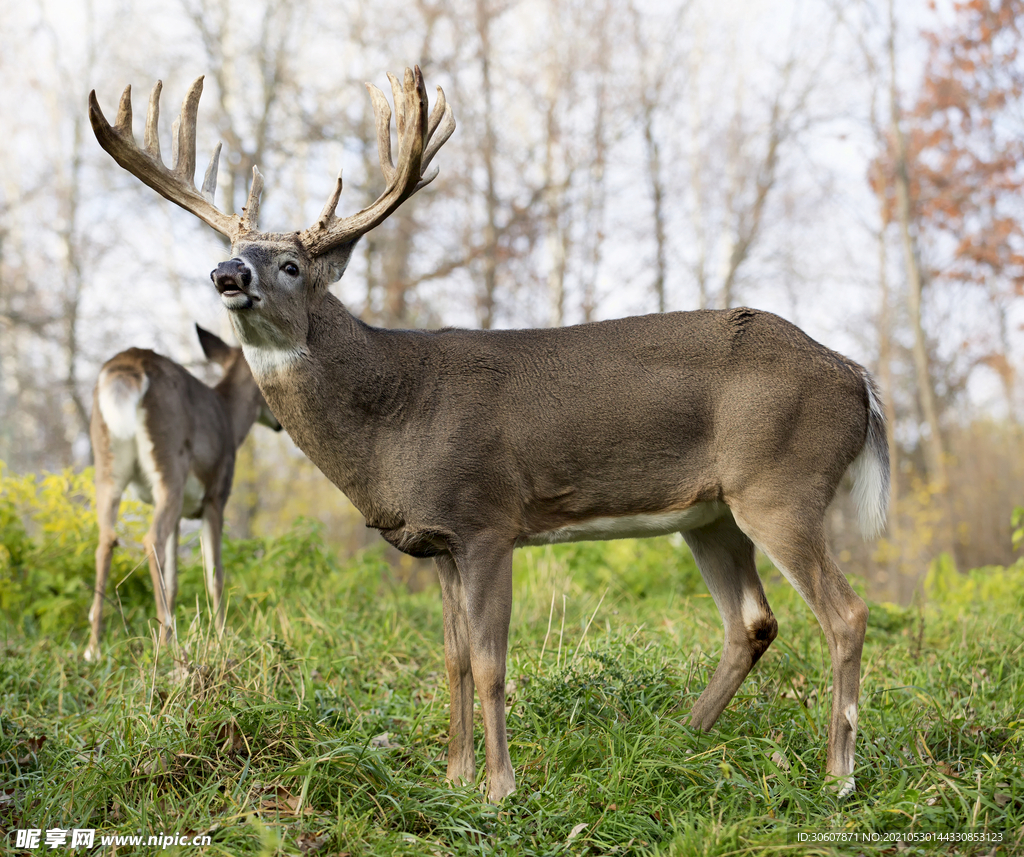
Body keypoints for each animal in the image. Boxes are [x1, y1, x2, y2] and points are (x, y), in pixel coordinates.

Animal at [84, 323, 282, 663]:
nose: (281, 423)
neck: (231, 420)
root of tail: (128, 364)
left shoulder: (182, 514)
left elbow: (174, 579)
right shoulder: (215, 497)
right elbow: (214, 575)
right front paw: (222, 637)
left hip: (107, 467)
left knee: (105, 540)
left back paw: (94, 647)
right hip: (169, 465)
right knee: (151, 539)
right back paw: (167, 644)